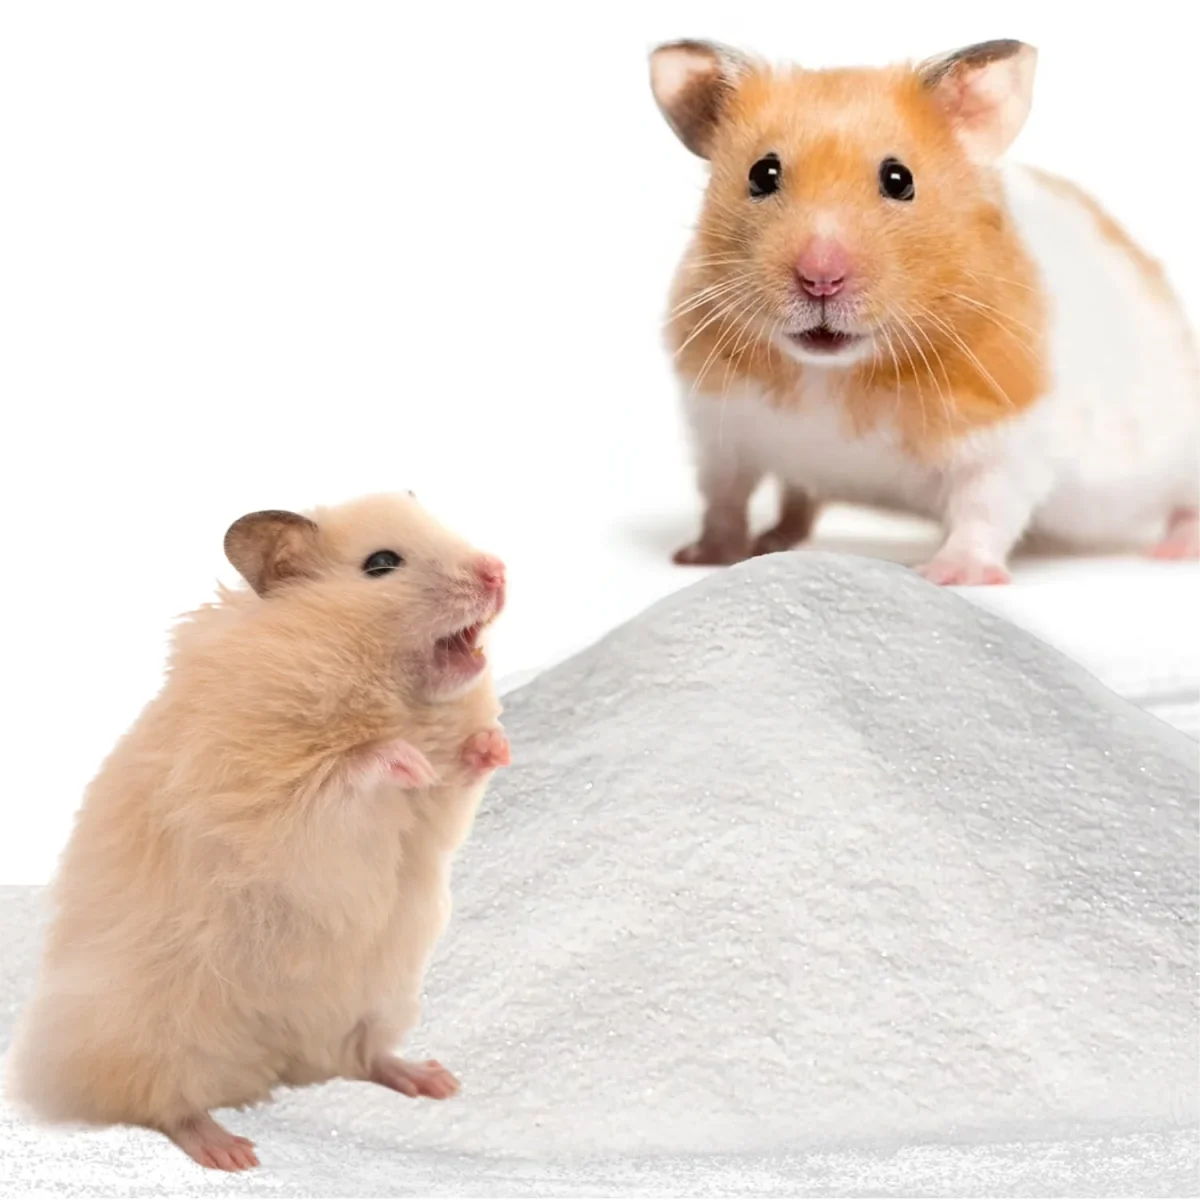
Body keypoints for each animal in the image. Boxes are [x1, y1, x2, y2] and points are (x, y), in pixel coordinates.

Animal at [5, 493, 511, 1171]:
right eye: (381, 564)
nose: (498, 572)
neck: (392, 696)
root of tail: (269, 1068)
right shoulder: (267, 798)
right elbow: (342, 777)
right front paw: (402, 759)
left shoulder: (435, 812)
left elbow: (456, 780)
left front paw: (495, 746)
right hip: (154, 1030)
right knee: (165, 1105)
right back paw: (232, 1153)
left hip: (379, 999)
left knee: (361, 1056)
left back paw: (435, 1080)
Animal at [650, 39, 1200, 583]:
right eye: (762, 174)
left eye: (899, 179)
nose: (820, 278)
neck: (830, 375)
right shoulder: (717, 429)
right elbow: (724, 497)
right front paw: (701, 556)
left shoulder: (1007, 437)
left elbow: (985, 508)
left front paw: (948, 574)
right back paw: (774, 538)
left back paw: (1174, 551)